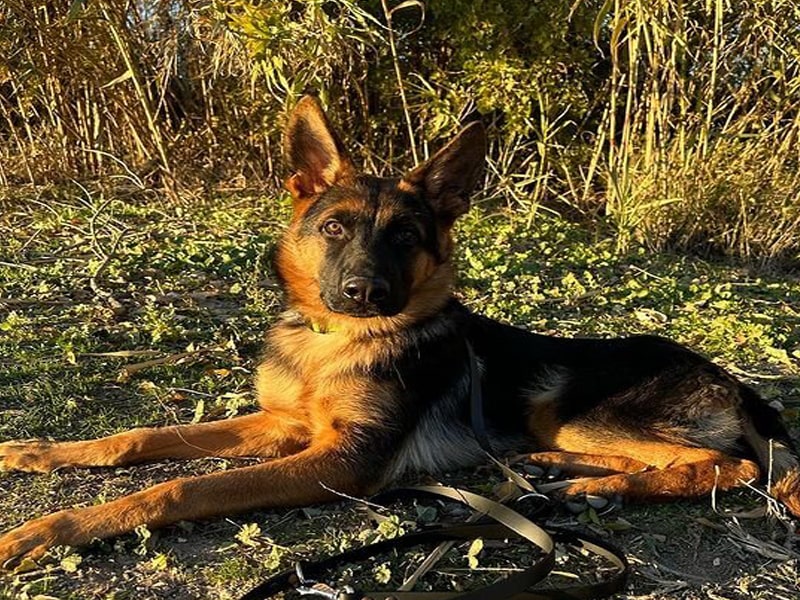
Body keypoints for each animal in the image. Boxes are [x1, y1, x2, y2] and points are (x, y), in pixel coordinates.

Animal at [1, 96, 800, 564]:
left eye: (407, 236)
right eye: (334, 227)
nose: (365, 293)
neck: (332, 343)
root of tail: (739, 387)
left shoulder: (341, 461)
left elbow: (178, 489)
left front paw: (49, 530)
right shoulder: (282, 424)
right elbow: (142, 439)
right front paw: (38, 453)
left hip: (570, 407)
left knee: (731, 467)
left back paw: (593, 487)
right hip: (555, 421)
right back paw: (562, 474)